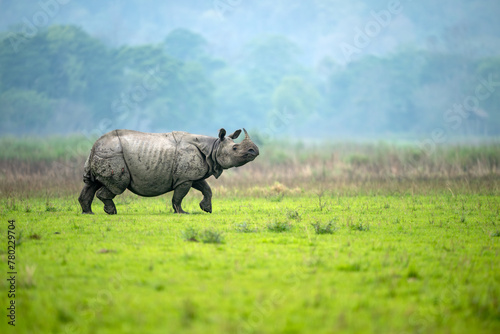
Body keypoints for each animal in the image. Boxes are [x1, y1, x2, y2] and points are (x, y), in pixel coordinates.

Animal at [79, 128, 258, 214]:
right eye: (235, 148)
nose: (254, 151)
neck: (213, 147)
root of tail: (95, 145)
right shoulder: (185, 178)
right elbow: (179, 196)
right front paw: (182, 213)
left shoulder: (192, 174)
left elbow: (206, 188)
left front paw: (206, 209)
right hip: (113, 155)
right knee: (118, 185)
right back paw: (112, 212)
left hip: (102, 153)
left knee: (92, 183)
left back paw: (88, 213)